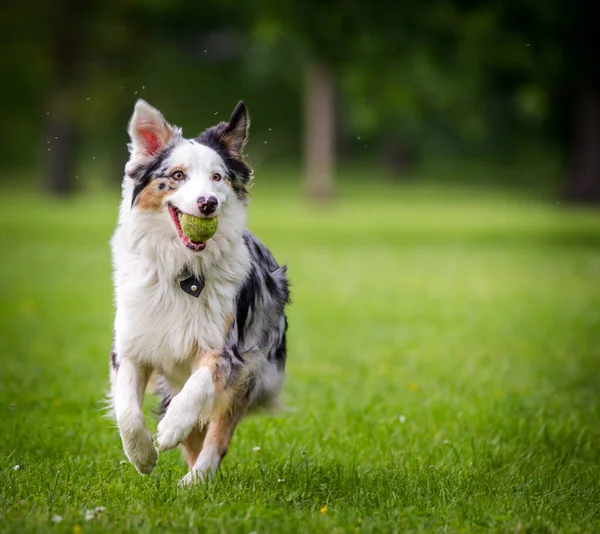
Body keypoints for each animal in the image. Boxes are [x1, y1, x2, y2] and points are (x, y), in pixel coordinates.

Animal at [109, 98, 290, 488]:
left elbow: (198, 388)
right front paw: (142, 455)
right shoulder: (131, 348)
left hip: (249, 372)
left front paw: (169, 429)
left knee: (216, 434)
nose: (208, 203)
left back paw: (197, 481)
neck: (182, 270)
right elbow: (126, 409)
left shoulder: (226, 352)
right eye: (178, 175)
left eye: (217, 177)